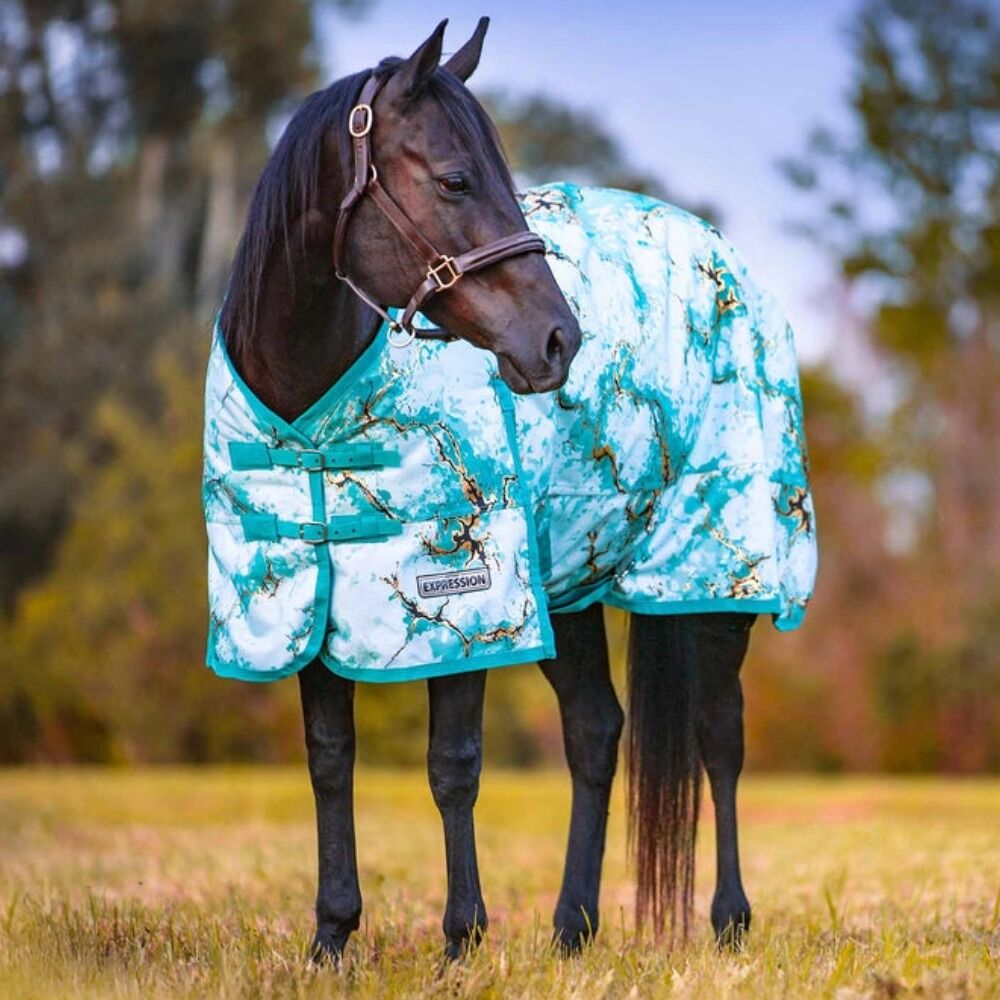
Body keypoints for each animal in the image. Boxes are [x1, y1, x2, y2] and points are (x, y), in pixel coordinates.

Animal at [209, 18, 816, 962]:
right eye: (456, 179)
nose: (559, 339)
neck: (309, 410)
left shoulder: (462, 595)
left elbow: (452, 766)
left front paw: (462, 938)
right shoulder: (314, 597)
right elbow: (329, 756)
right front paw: (331, 936)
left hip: (715, 583)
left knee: (720, 734)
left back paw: (728, 920)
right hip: (572, 582)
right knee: (597, 732)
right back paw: (572, 928)